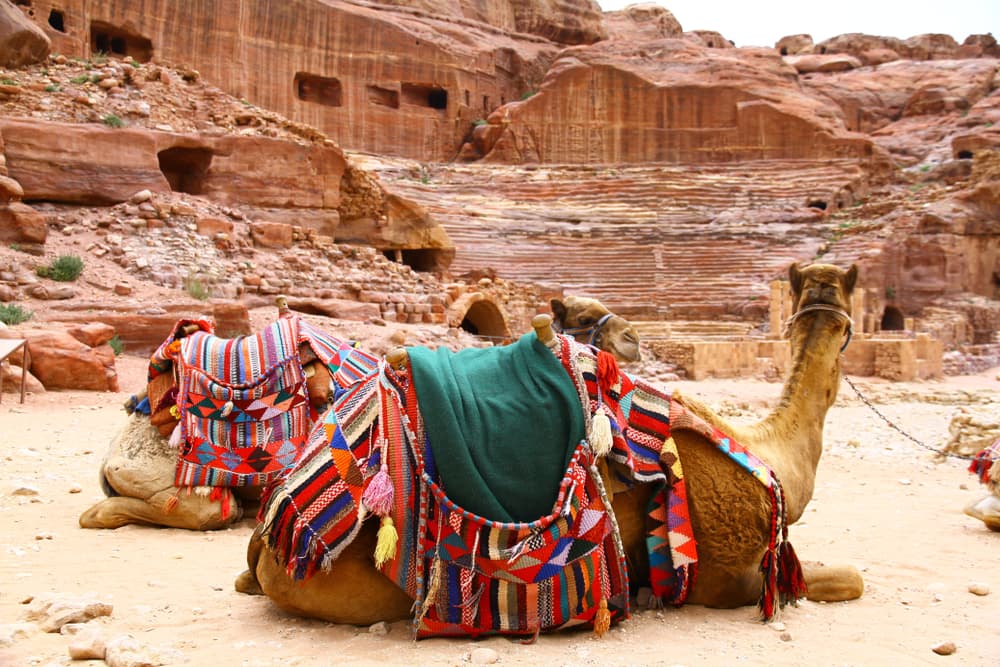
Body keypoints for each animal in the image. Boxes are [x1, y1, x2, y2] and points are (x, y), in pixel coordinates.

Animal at [236, 262, 864, 631]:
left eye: (836, 301)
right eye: (846, 317)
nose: (634, 337)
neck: (769, 456)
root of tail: (273, 536)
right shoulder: (727, 579)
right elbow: (850, 579)